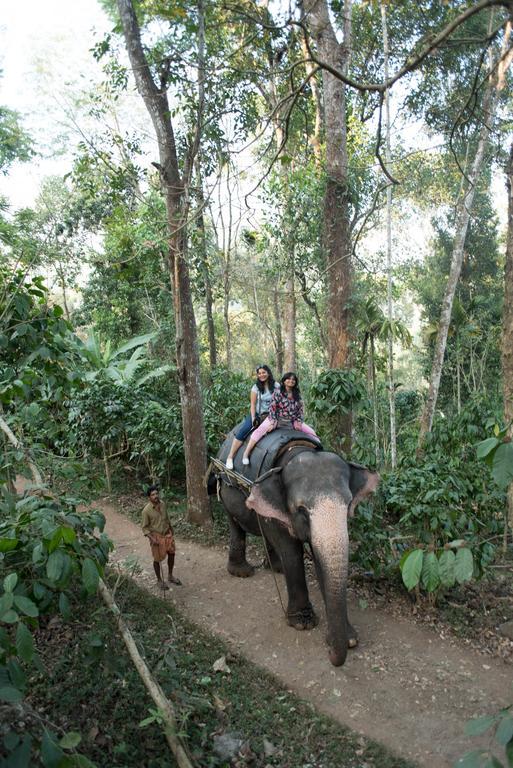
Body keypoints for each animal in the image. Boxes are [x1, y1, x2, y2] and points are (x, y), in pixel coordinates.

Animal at [210, 428, 378, 668]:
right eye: (301, 510)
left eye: (347, 504)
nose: (330, 652)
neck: (296, 452)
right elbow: (291, 551)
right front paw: (303, 623)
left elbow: (318, 557)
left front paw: (350, 639)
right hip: (226, 491)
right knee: (236, 525)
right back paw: (242, 572)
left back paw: (275, 567)